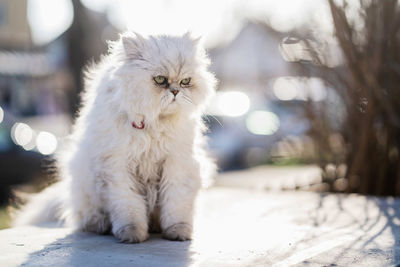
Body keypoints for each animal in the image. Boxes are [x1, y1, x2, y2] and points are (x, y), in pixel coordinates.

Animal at [13, 32, 216, 244]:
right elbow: (129, 207)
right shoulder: (117, 167)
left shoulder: (177, 164)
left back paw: (154, 226)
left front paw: (178, 232)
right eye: (160, 80)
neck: (153, 124)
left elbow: (176, 204)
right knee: (86, 217)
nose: (176, 91)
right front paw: (132, 235)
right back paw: (101, 226)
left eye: (186, 81)